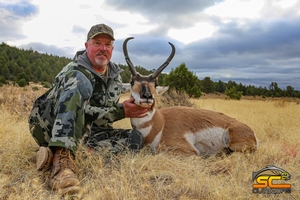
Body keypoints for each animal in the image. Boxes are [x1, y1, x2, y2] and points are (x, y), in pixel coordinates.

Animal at [122, 37, 258, 156]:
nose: (147, 96)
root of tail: (252, 133)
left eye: (155, 84)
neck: (160, 123)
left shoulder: (187, 150)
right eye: (132, 82)